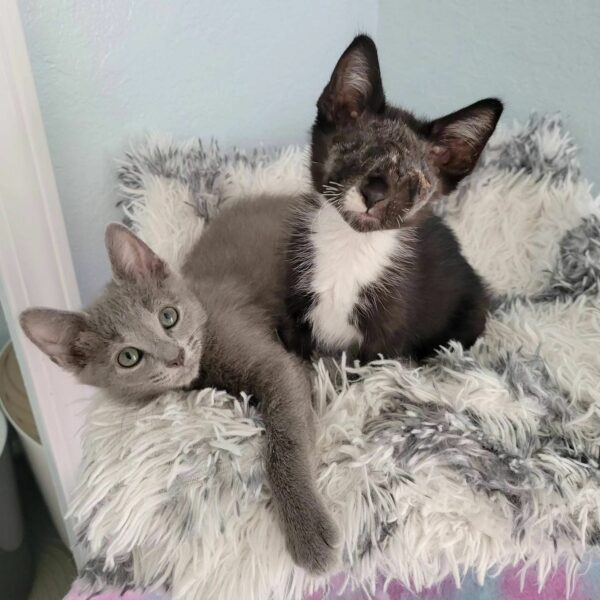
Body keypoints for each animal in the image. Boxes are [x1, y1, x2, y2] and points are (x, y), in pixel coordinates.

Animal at [19, 196, 338, 572]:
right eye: (128, 357)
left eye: (168, 317)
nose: (176, 356)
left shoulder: (274, 365)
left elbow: (285, 438)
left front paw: (308, 531)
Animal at [282, 35, 502, 364]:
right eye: (351, 152)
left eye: (414, 180)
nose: (374, 194)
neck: (350, 247)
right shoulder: (293, 305)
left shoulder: (387, 337)